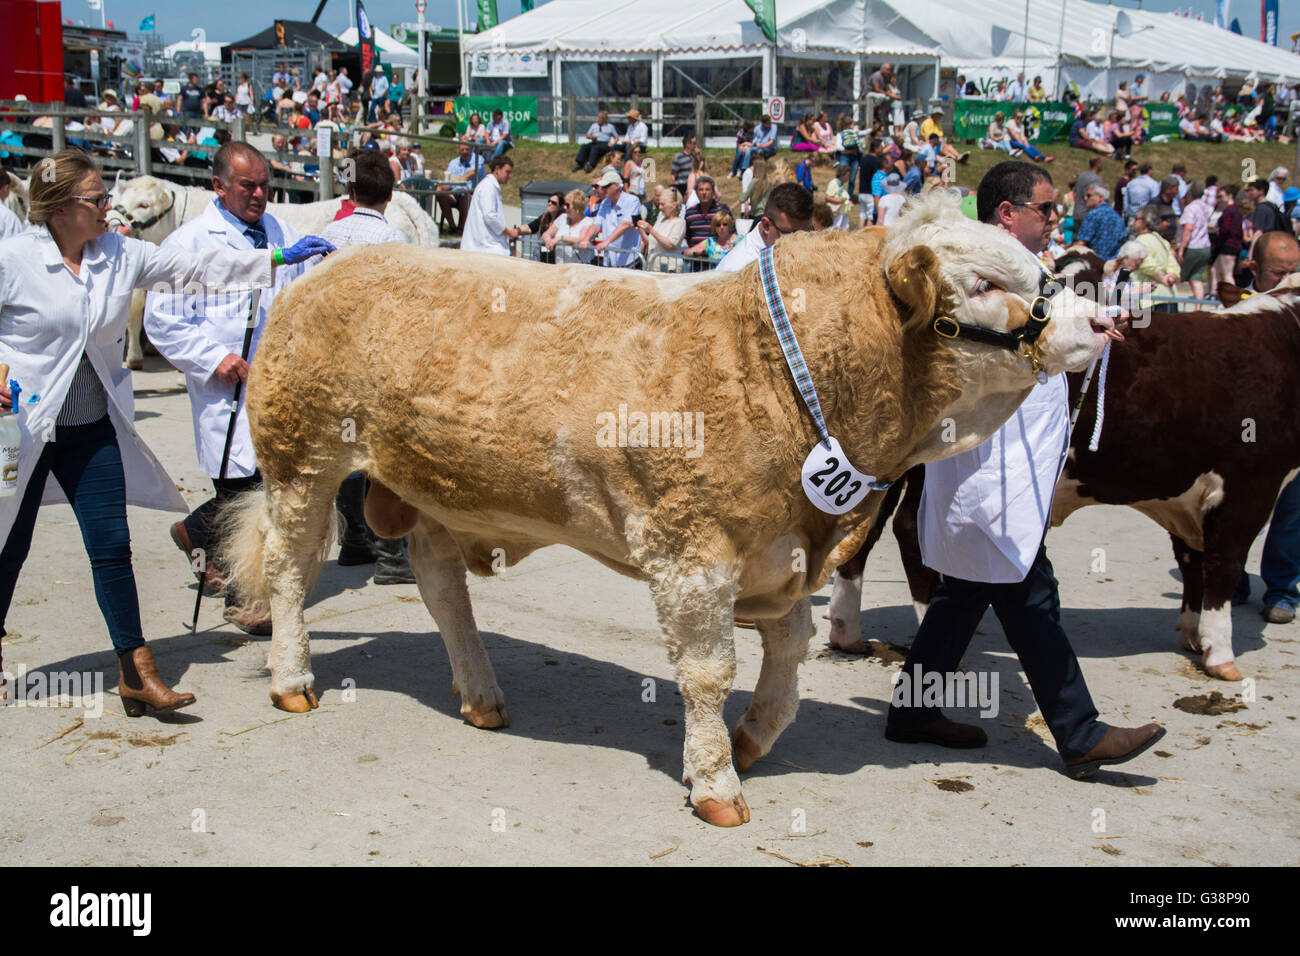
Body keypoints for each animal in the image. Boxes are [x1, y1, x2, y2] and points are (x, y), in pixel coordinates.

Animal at [223, 191, 1118, 827]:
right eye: (986, 285)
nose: (1106, 318)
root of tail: (328, 268)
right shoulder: (694, 553)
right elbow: (707, 672)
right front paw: (717, 782)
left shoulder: (780, 552)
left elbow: (789, 660)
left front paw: (752, 740)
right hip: (303, 462)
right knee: (289, 571)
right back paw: (293, 678)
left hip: (437, 486)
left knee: (443, 589)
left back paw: (481, 696)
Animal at [826, 282, 1300, 681]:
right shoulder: (1250, 486)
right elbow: (1224, 565)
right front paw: (1221, 654)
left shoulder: (1188, 496)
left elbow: (1192, 563)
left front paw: (1191, 631)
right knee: (913, 532)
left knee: (861, 537)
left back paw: (847, 633)